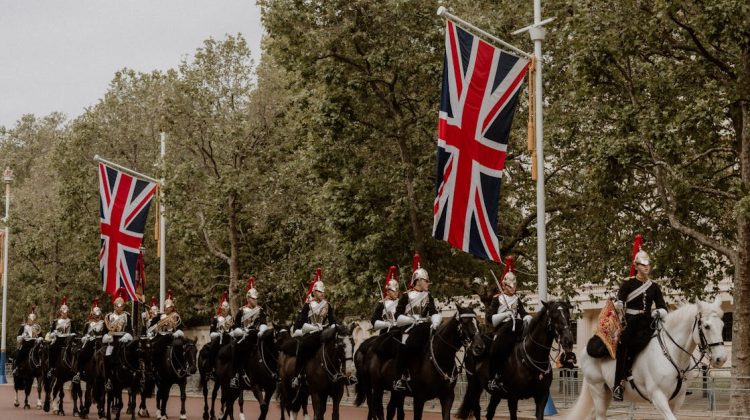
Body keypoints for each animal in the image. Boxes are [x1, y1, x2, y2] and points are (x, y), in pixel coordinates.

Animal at [356, 306, 484, 420]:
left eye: (477, 322)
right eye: (464, 322)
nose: (479, 347)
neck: (439, 359)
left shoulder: (447, 396)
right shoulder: (419, 398)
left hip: (395, 392)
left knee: (390, 409)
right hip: (375, 387)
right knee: (375, 408)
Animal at [568, 298, 728, 420]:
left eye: (723, 325)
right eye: (706, 326)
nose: (721, 358)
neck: (672, 354)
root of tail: (586, 349)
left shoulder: (677, 401)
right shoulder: (658, 397)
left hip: (605, 393)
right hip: (598, 389)